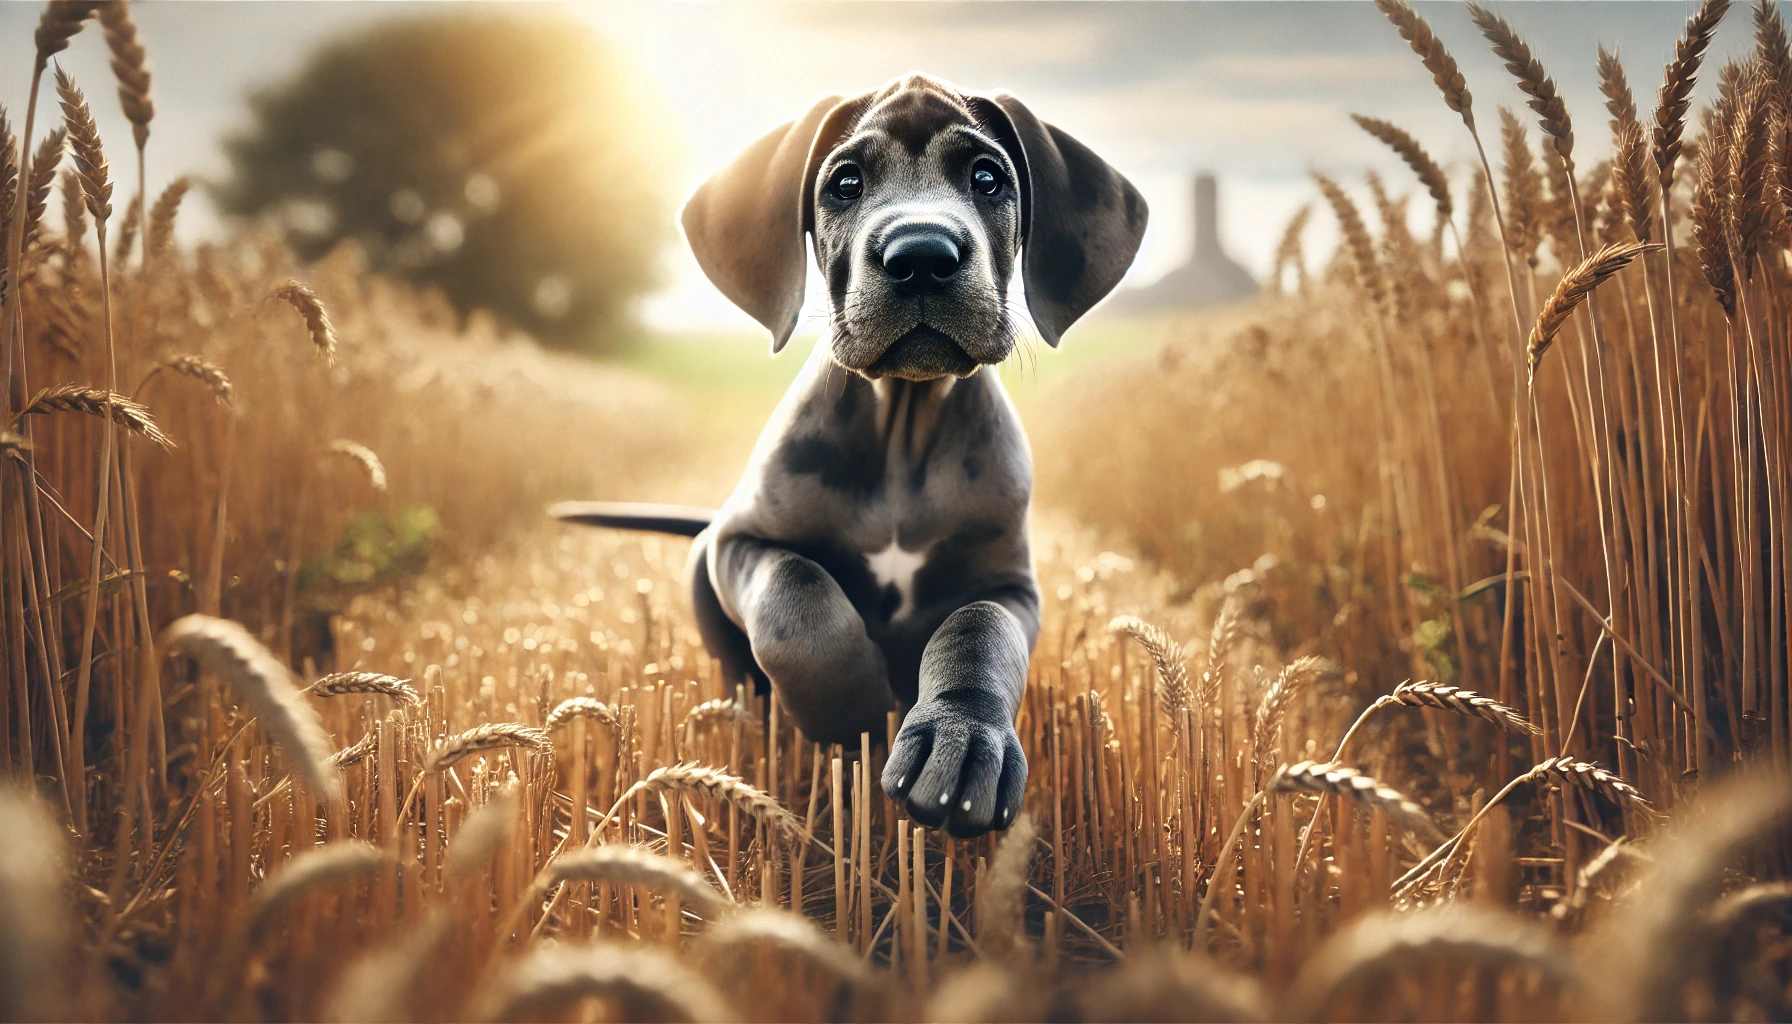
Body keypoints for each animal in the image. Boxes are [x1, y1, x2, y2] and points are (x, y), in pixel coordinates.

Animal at [551, 76, 1146, 835]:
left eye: (987, 178)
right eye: (845, 182)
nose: (921, 255)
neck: (902, 425)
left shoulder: (1009, 583)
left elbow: (978, 632)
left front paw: (960, 747)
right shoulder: (739, 541)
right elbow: (797, 596)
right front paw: (851, 709)